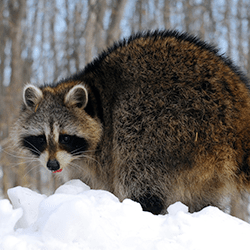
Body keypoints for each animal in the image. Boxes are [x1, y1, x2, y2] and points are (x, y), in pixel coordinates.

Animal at [11, 30, 250, 214]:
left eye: (66, 138)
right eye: (41, 138)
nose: (52, 165)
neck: (95, 94)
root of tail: (238, 114)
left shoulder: (103, 150)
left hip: (162, 123)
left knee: (136, 168)